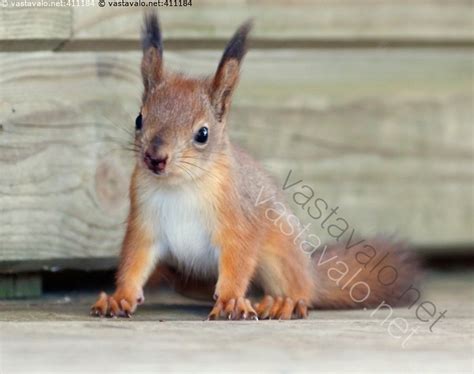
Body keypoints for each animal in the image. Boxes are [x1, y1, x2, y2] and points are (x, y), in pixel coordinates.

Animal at [91, 13, 418, 320]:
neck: (182, 185)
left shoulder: (239, 220)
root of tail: (310, 271)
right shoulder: (144, 222)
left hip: (278, 252)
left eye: (203, 133)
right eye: (139, 119)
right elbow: (134, 261)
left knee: (300, 291)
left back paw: (284, 303)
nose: (155, 158)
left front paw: (230, 300)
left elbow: (238, 261)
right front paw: (119, 297)